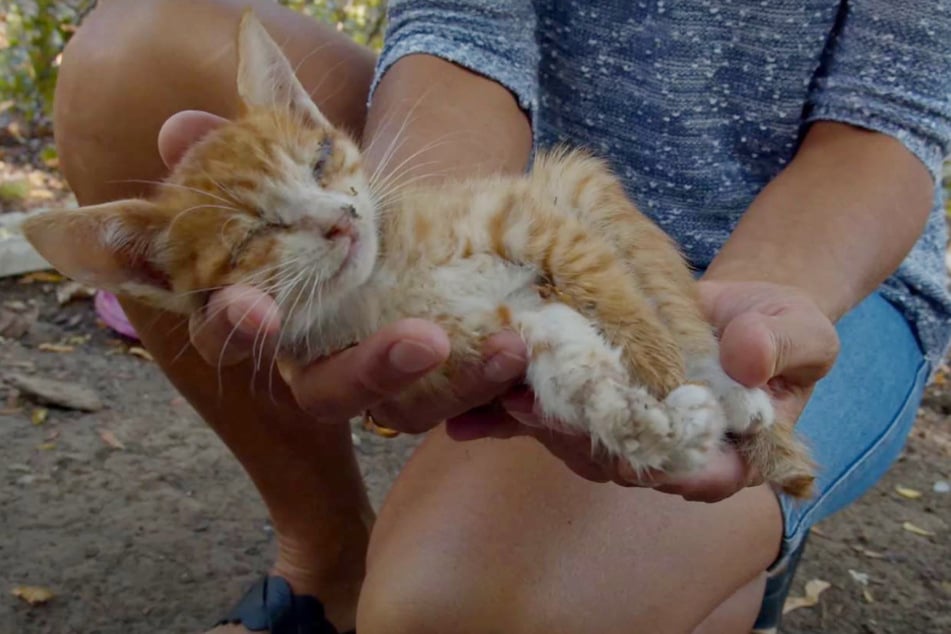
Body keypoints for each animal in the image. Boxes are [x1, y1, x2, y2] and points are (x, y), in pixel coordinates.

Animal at [26, 8, 820, 494]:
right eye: (254, 237)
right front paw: (646, 426)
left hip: (591, 191)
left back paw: (735, 392)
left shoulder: (535, 218)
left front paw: (661, 374)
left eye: (321, 160)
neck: (386, 276)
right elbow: (571, 371)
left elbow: (617, 299)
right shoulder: (497, 327)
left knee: (674, 307)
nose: (343, 221)